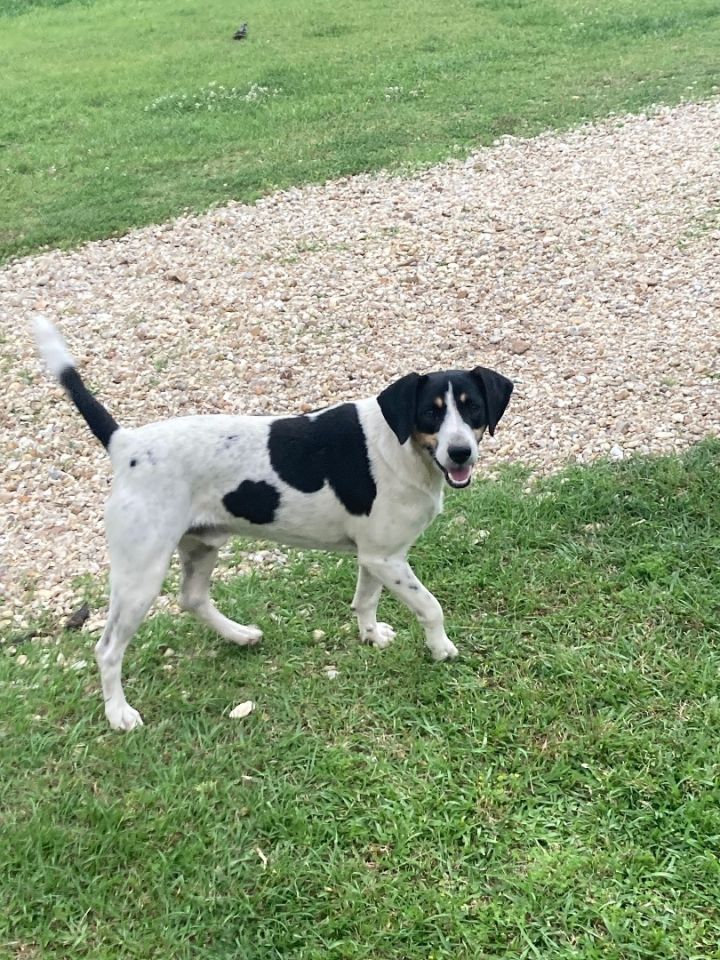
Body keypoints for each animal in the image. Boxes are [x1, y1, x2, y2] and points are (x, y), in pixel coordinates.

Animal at [33, 318, 512, 732]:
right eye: (431, 413)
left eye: (472, 409)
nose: (460, 453)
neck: (403, 446)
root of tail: (126, 444)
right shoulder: (387, 559)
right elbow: (431, 606)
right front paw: (441, 648)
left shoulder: (378, 556)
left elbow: (365, 601)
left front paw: (372, 636)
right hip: (140, 576)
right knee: (108, 649)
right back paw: (119, 712)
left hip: (201, 546)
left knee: (192, 599)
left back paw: (240, 635)